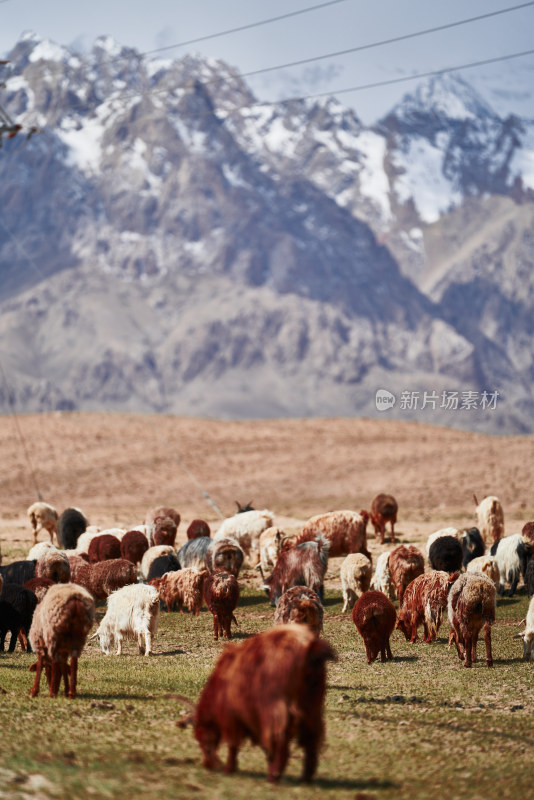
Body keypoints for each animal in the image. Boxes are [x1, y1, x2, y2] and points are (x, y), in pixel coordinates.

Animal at [191, 624, 338, 780]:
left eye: (199, 737)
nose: (208, 765)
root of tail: (308, 646)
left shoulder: (232, 717)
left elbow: (233, 744)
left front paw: (229, 768)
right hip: (312, 707)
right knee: (311, 737)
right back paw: (305, 777)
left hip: (277, 709)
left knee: (281, 739)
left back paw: (274, 776)